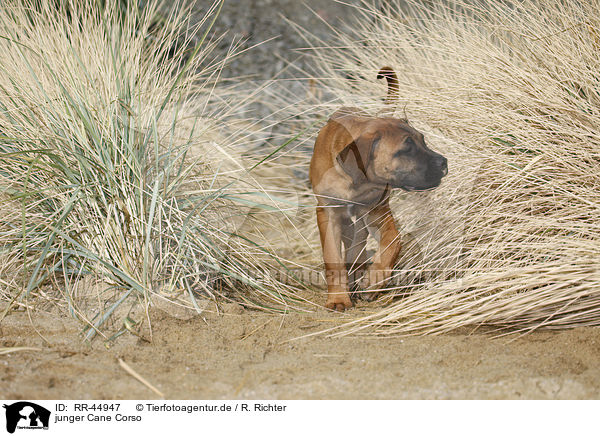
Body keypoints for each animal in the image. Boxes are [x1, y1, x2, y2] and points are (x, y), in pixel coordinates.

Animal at [310, 67, 446, 310]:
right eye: (406, 150)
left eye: (423, 141)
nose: (444, 163)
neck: (356, 181)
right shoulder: (328, 212)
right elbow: (332, 257)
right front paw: (338, 299)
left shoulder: (378, 211)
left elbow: (394, 242)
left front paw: (374, 281)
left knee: (359, 243)